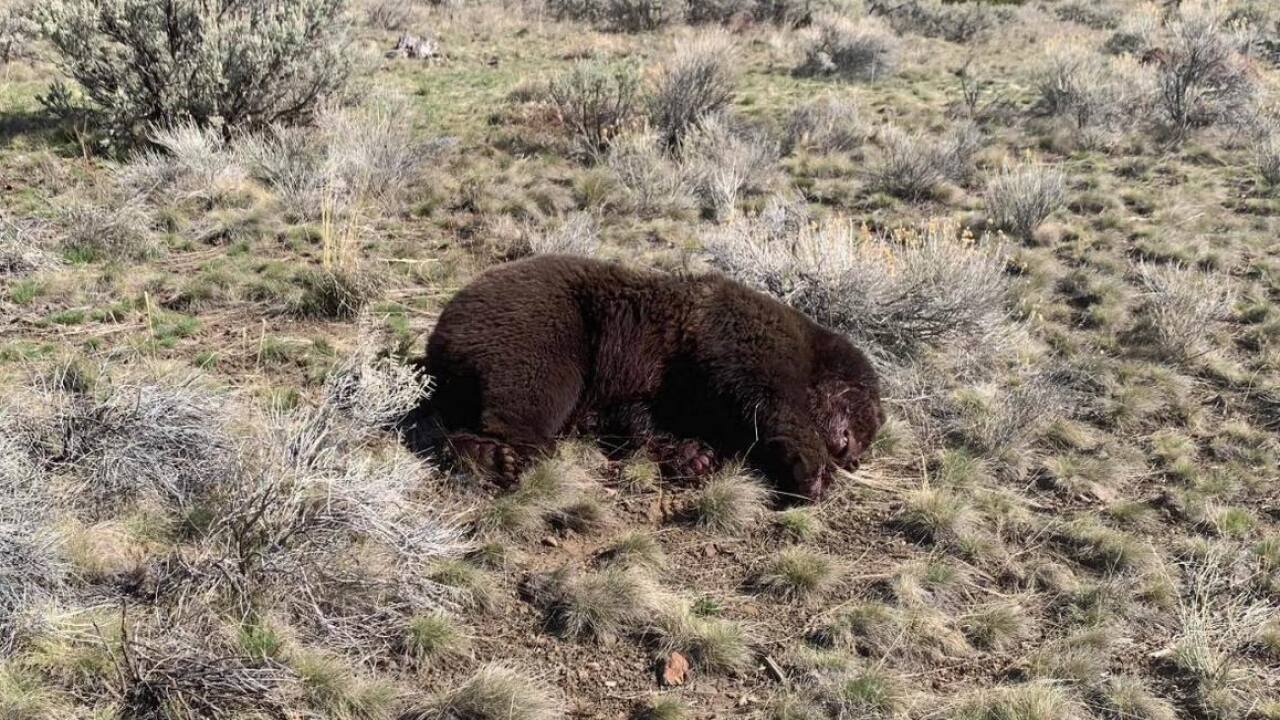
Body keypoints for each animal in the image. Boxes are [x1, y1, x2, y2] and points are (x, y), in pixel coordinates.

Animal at [414, 254, 883, 502]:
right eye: (865, 423)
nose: (853, 456)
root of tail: (439, 329)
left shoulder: (650, 385)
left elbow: (638, 419)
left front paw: (694, 455)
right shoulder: (739, 338)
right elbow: (769, 400)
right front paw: (812, 471)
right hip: (546, 322)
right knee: (531, 387)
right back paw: (505, 455)